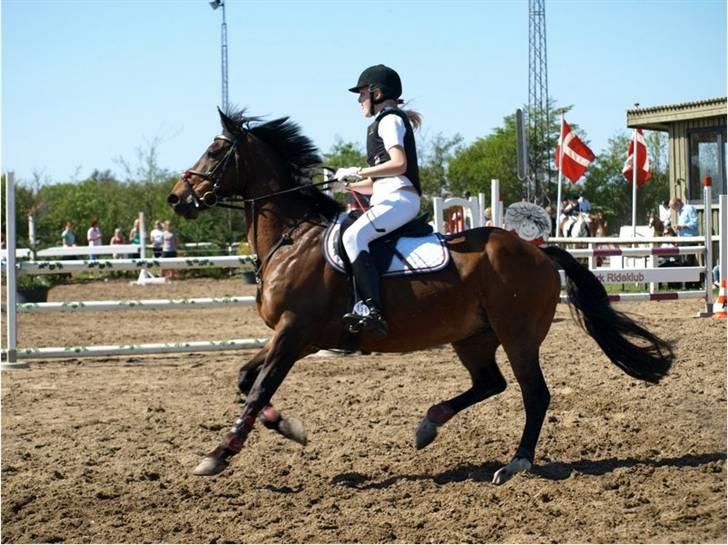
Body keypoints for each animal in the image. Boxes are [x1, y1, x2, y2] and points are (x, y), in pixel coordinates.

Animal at [168, 108, 672, 482]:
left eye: (216, 150)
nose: (176, 198)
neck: (293, 239)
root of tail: (538, 252)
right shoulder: (296, 338)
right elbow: (245, 379)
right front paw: (290, 428)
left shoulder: (294, 333)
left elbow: (256, 390)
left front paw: (218, 455)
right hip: (473, 337)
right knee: (491, 383)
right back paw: (429, 424)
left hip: (518, 335)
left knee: (535, 394)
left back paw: (516, 463)